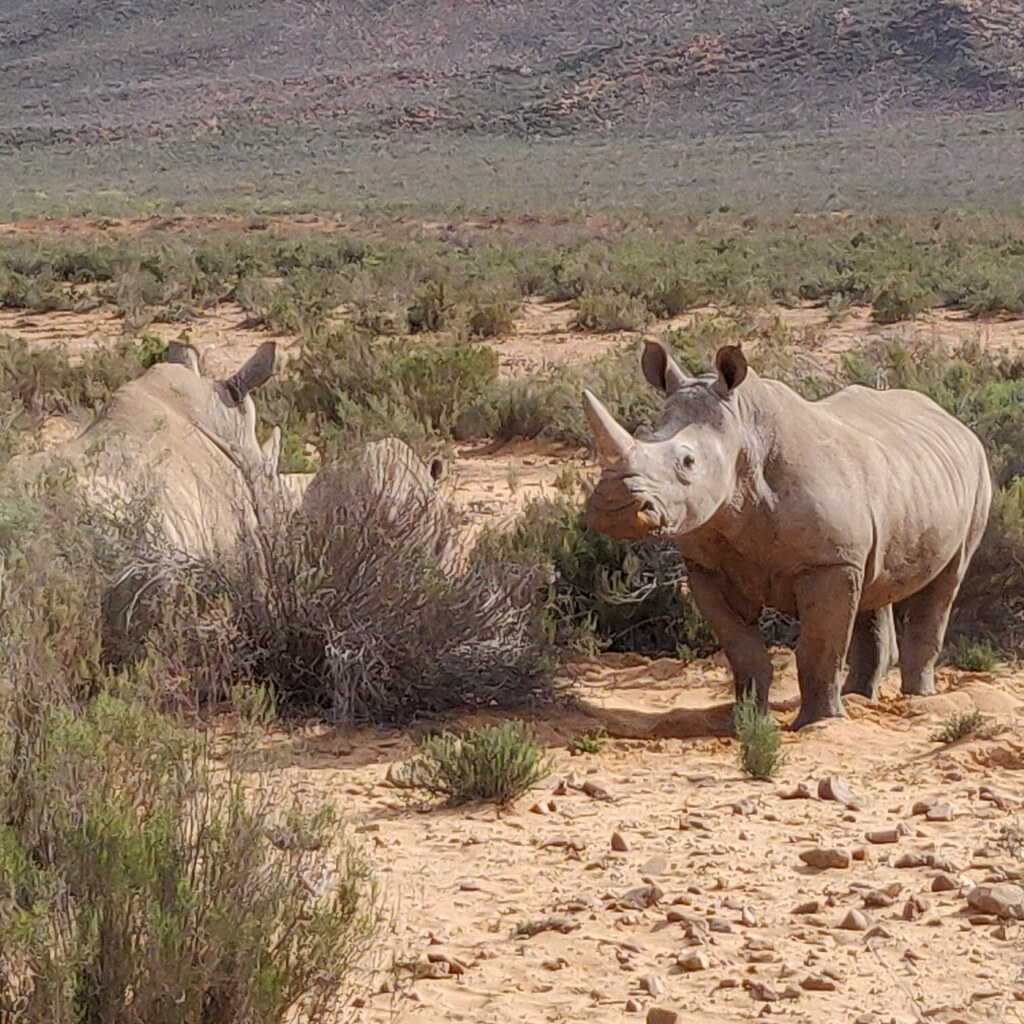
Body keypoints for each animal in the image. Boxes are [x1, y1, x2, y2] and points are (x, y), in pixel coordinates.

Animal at [582, 339, 992, 728]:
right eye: (642, 434)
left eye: (688, 462)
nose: (613, 509)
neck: (744, 440)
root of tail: (953, 421)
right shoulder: (708, 566)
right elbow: (743, 650)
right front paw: (745, 721)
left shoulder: (828, 562)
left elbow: (819, 648)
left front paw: (820, 723)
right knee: (873, 583)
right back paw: (860, 698)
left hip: (976, 473)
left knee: (946, 581)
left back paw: (918, 700)